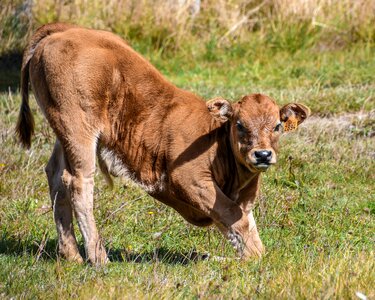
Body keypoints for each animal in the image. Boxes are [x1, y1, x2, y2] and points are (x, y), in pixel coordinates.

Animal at [16, 23, 310, 264]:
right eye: (239, 124)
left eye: (278, 125)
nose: (262, 155)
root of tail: (65, 31)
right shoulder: (190, 179)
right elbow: (232, 215)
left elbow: (244, 227)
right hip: (78, 129)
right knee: (77, 181)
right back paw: (98, 257)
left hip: (63, 133)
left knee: (55, 175)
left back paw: (71, 255)